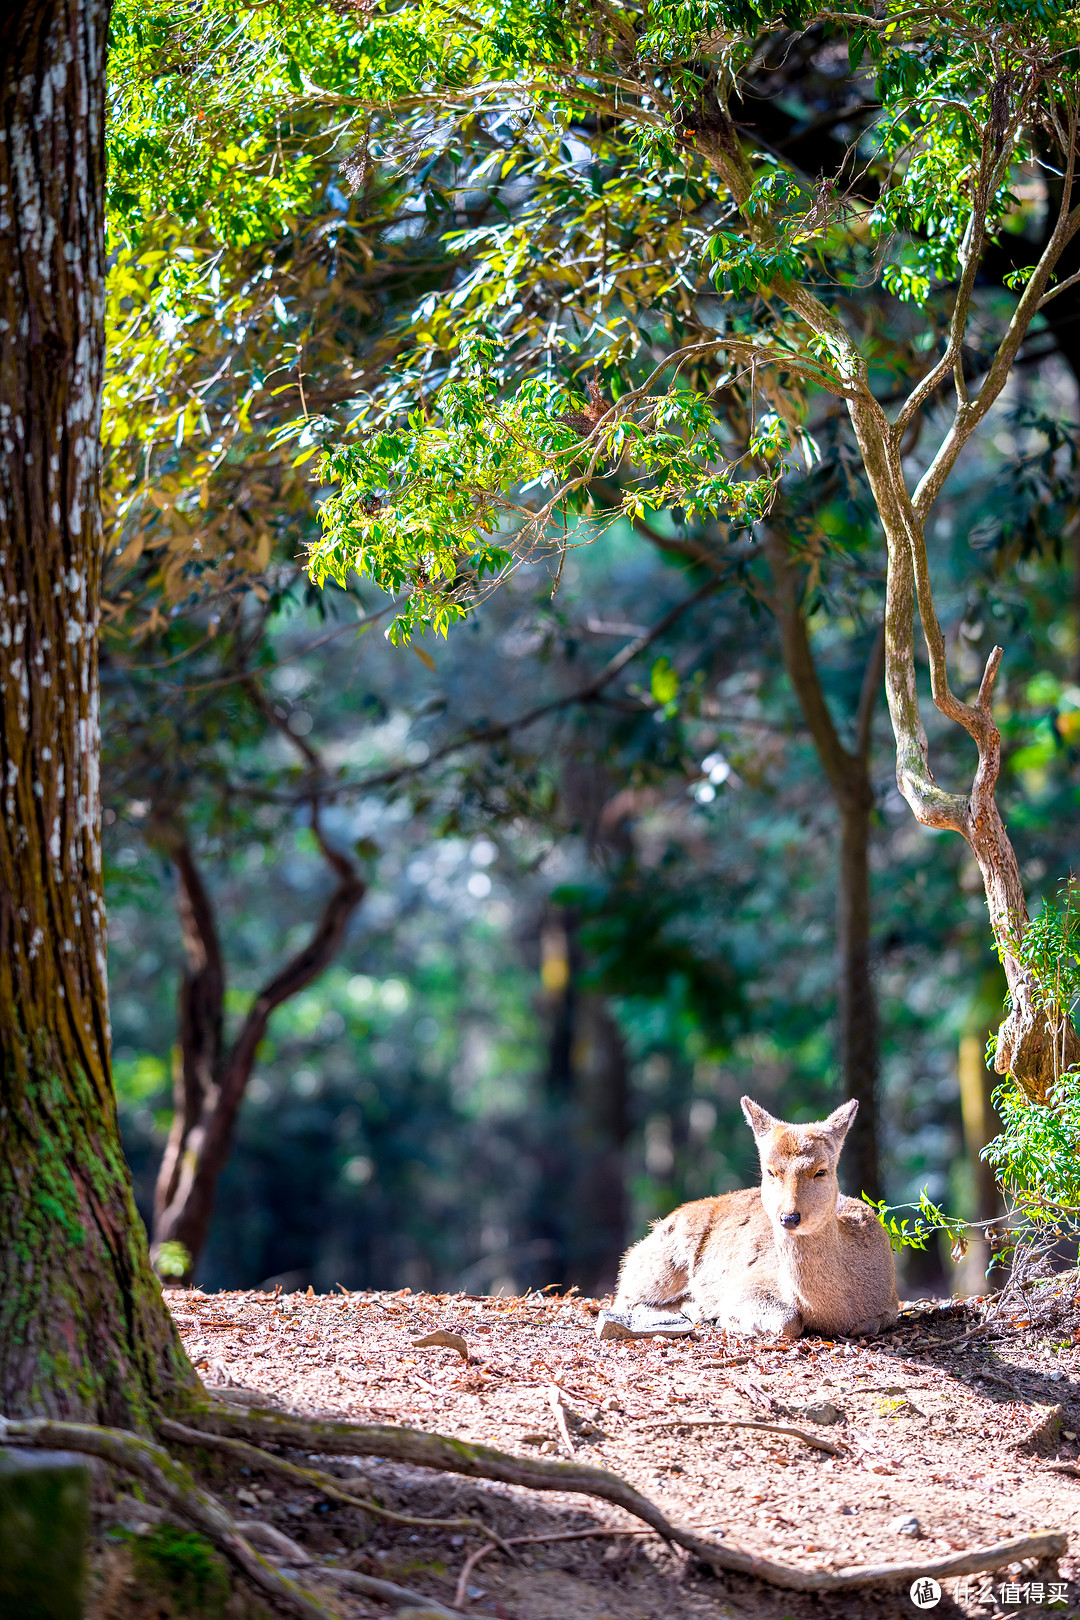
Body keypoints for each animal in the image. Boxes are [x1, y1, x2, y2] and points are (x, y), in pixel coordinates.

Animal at [612, 1101, 900, 1341]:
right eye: (769, 1171)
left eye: (821, 1171)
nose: (789, 1217)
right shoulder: (749, 1283)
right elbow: (788, 1321)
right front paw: (727, 1319)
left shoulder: (891, 1303)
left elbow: (869, 1324)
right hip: (660, 1264)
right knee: (624, 1298)